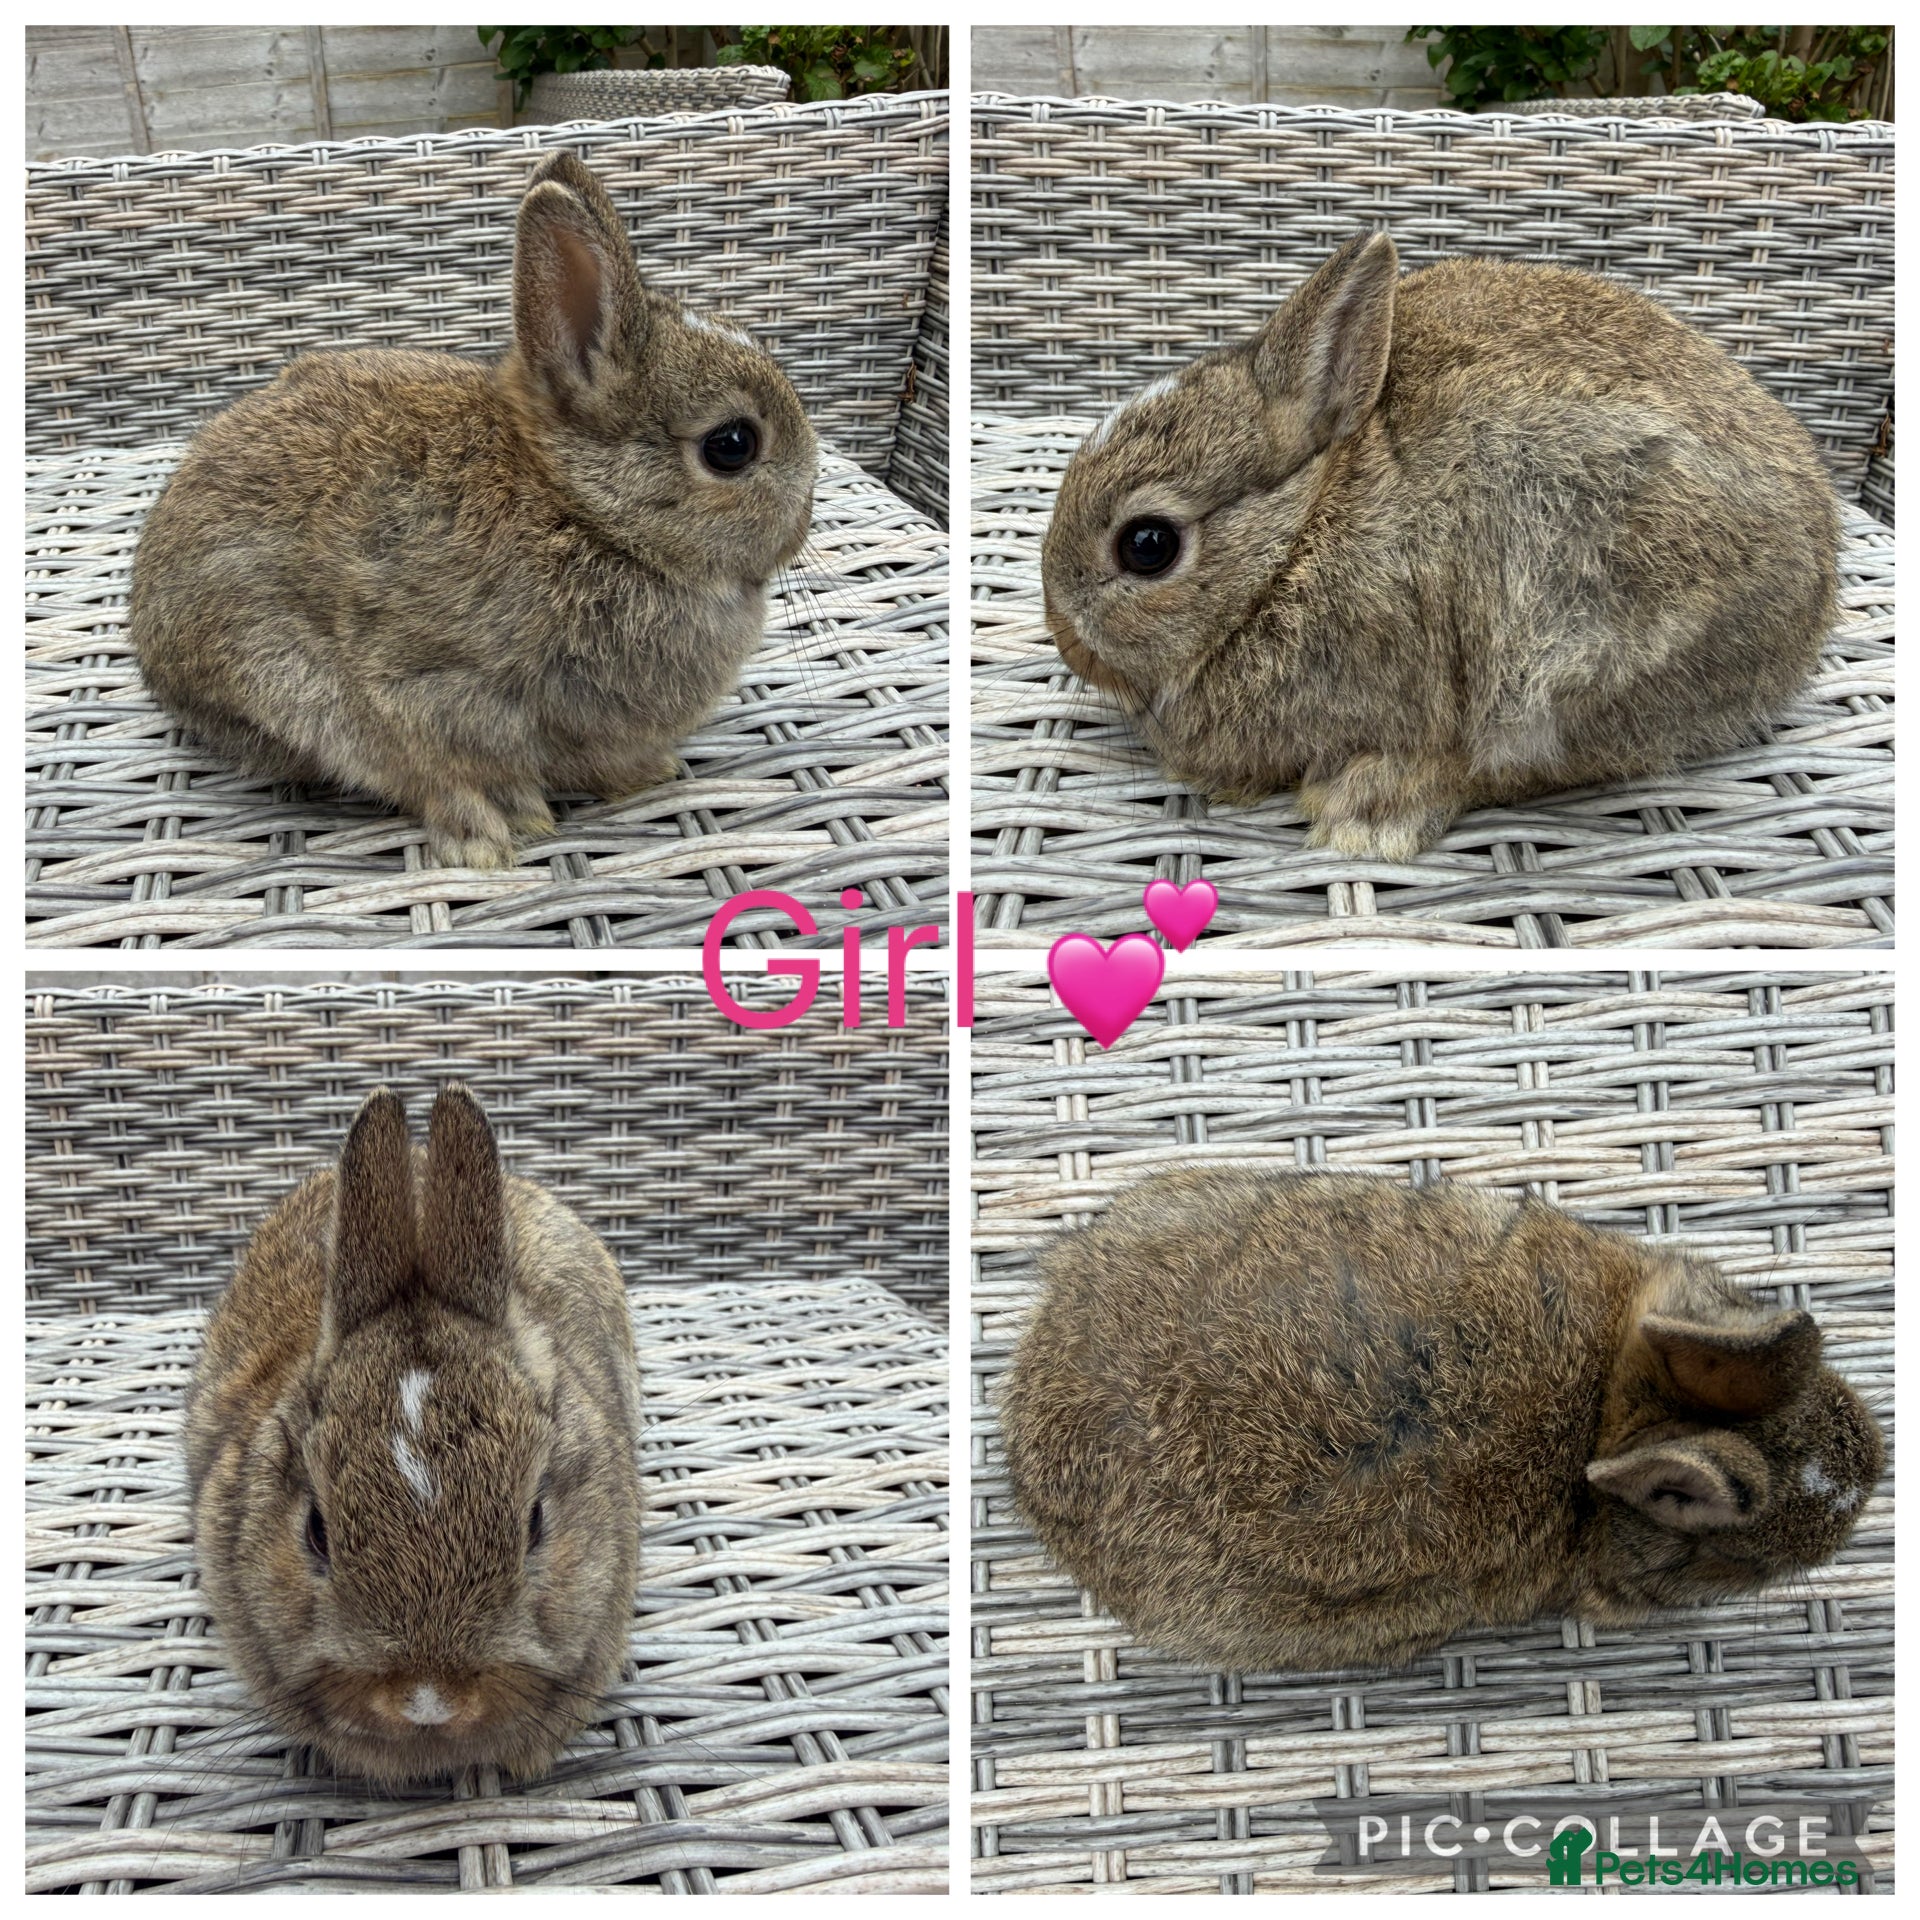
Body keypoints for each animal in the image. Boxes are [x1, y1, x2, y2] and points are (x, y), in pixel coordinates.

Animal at [129, 149, 819, 869]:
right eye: (732, 445)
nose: (803, 523)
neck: (583, 513)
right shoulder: (413, 687)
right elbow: (427, 768)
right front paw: (487, 841)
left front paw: (648, 773)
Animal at [1039, 233, 1841, 859]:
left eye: (1147, 545)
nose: (1064, 638)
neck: (1294, 546)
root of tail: (1809, 610)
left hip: (1577, 644)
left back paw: (1369, 810)